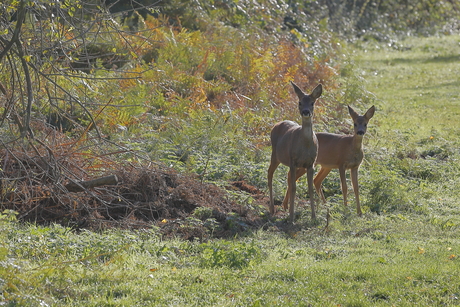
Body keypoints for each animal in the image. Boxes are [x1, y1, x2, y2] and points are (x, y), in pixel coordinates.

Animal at [268, 81, 322, 221]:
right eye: (300, 102)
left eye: (312, 103)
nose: (306, 111)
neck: (306, 145)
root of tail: (277, 124)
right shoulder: (293, 160)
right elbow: (294, 187)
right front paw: (291, 217)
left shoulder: (311, 163)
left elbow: (310, 188)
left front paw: (314, 217)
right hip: (275, 154)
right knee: (270, 173)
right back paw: (272, 209)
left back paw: (285, 206)